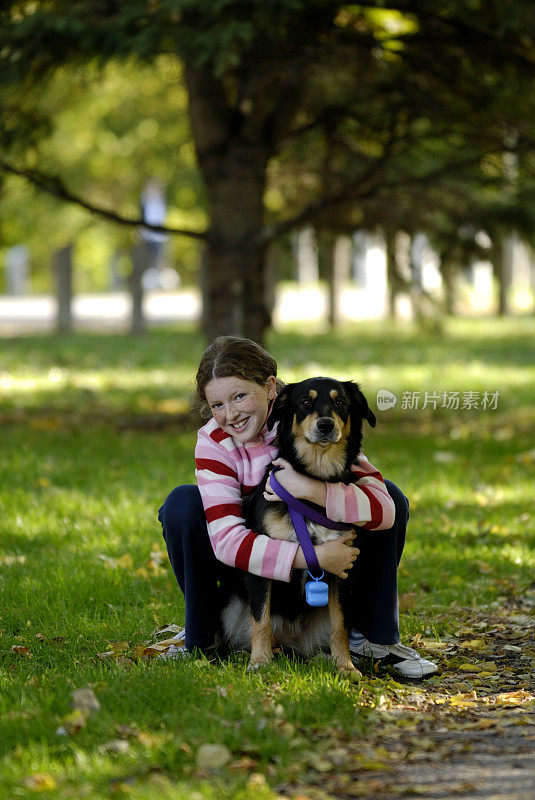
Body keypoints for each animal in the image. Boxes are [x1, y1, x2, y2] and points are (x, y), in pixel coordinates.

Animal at [220, 378, 378, 672]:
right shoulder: (260, 559)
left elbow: (340, 627)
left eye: (340, 402)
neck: (316, 477)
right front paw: (260, 661)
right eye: (306, 402)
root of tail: (290, 644)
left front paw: (346, 666)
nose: (326, 425)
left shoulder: (343, 571)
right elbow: (261, 619)